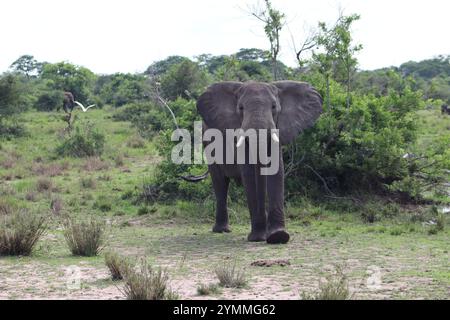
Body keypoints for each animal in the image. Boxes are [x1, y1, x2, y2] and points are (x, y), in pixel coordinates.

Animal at [190, 81, 324, 244]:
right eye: (241, 108)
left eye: (274, 107)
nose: (265, 236)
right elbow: (248, 174)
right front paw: (258, 238)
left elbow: (276, 171)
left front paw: (279, 236)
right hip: (208, 143)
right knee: (220, 182)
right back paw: (221, 230)